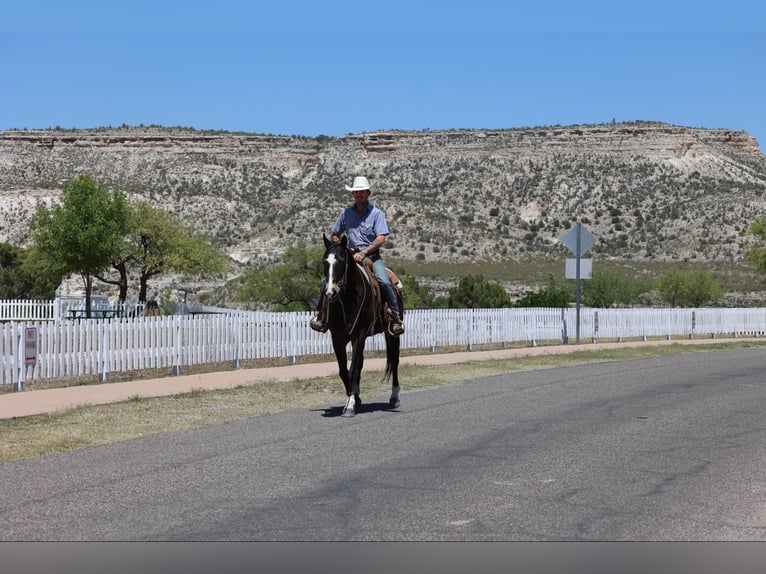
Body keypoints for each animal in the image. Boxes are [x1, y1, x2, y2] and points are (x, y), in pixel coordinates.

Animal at [319, 233, 403, 417]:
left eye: (341, 261)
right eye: (325, 261)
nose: (330, 292)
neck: (347, 299)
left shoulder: (359, 334)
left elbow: (353, 370)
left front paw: (350, 405)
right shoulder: (338, 337)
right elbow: (345, 371)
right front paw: (354, 399)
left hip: (391, 333)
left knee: (394, 360)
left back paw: (394, 397)